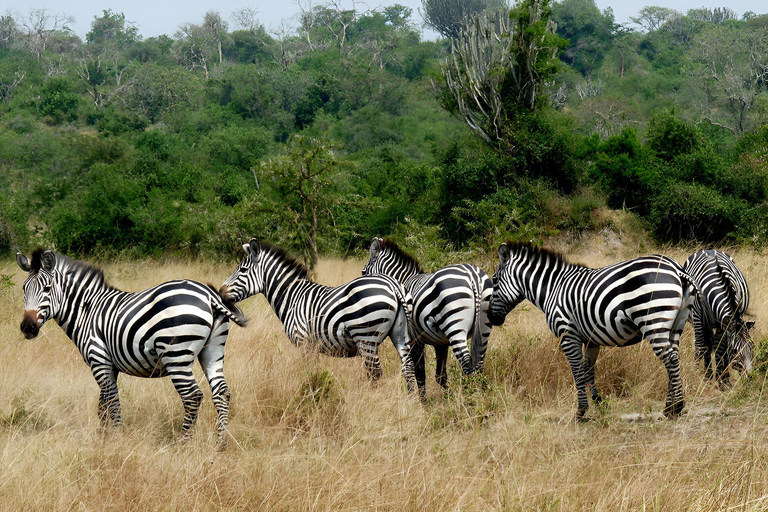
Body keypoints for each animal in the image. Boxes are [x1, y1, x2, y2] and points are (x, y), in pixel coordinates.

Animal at [16, 249, 246, 452]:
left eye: (47, 289)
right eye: (24, 289)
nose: (27, 328)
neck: (87, 311)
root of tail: (208, 294)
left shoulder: (98, 360)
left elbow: (112, 404)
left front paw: (114, 441)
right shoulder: (110, 366)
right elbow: (103, 406)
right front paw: (104, 438)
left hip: (176, 355)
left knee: (192, 396)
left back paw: (183, 444)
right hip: (213, 351)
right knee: (222, 392)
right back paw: (221, 444)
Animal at [219, 239, 416, 392]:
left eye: (243, 270)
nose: (220, 292)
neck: (292, 296)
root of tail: (392, 285)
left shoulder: (304, 342)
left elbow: (310, 374)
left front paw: (313, 397)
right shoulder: (313, 346)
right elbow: (316, 372)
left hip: (366, 337)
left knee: (375, 373)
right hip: (399, 334)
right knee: (408, 369)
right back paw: (413, 403)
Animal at [362, 237, 492, 396]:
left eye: (363, 272)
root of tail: (472, 275)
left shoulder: (414, 340)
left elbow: (419, 371)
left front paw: (422, 399)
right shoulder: (441, 343)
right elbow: (440, 375)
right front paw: (447, 397)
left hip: (455, 326)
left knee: (467, 364)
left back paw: (470, 396)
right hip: (484, 328)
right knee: (479, 364)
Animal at [488, 244, 700, 420]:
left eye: (495, 280)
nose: (491, 318)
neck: (552, 289)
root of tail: (676, 268)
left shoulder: (567, 334)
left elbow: (576, 371)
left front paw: (581, 411)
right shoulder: (591, 340)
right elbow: (588, 370)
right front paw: (600, 404)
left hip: (653, 320)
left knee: (670, 360)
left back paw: (676, 407)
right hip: (675, 324)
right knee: (674, 358)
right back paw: (670, 407)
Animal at [680, 250, 752, 386]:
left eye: (752, 347)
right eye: (734, 350)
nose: (750, 377)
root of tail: (709, 249)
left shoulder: (725, 323)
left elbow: (721, 349)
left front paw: (723, 380)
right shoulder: (698, 319)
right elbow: (701, 347)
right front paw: (699, 375)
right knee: (703, 344)